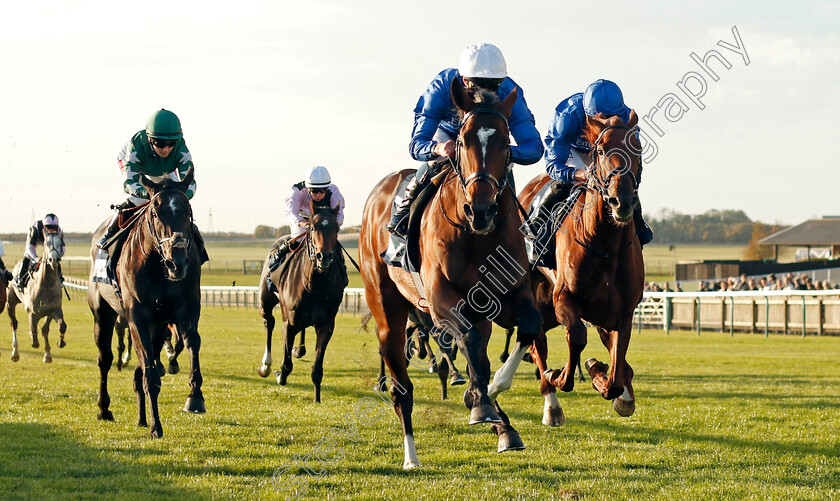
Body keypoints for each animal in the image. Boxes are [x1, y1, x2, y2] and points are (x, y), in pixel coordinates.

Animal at [8, 230, 66, 364]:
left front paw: (54, 348)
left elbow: (58, 327)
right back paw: (15, 353)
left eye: (61, 243)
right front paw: (32, 336)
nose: (53, 259)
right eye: (46, 243)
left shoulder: (54, 310)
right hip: (11, 301)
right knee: (14, 323)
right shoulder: (32, 312)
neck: (46, 285)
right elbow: (34, 335)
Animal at [89, 166, 205, 436]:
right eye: (154, 212)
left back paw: (141, 417)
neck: (158, 267)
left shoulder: (186, 309)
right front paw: (156, 426)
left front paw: (195, 396)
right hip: (103, 313)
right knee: (105, 359)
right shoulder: (137, 317)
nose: (177, 262)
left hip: (157, 325)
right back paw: (104, 409)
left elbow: (191, 342)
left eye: (188, 210)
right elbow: (150, 374)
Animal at [256, 203, 348, 402]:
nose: (324, 256)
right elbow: (287, 364)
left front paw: (317, 398)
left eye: (336, 229)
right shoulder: (289, 323)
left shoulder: (326, 325)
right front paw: (279, 375)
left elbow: (317, 368)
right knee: (269, 322)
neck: (315, 285)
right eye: (313, 227)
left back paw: (298, 350)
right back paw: (266, 365)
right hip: (265, 301)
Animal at [358, 76, 540, 466]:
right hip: (386, 308)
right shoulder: (441, 297)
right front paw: (481, 402)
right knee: (401, 387)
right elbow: (469, 340)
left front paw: (492, 393)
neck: (476, 236)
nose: (481, 210)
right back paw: (411, 456)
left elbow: (526, 328)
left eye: (505, 142)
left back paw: (500, 422)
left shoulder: (511, 292)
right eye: (463, 140)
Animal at [520, 111, 648, 420]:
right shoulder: (563, 298)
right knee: (538, 345)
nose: (621, 201)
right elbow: (577, 338)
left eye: (638, 148)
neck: (605, 245)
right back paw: (551, 404)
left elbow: (616, 369)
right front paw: (561, 375)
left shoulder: (623, 311)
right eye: (600, 151)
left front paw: (605, 377)